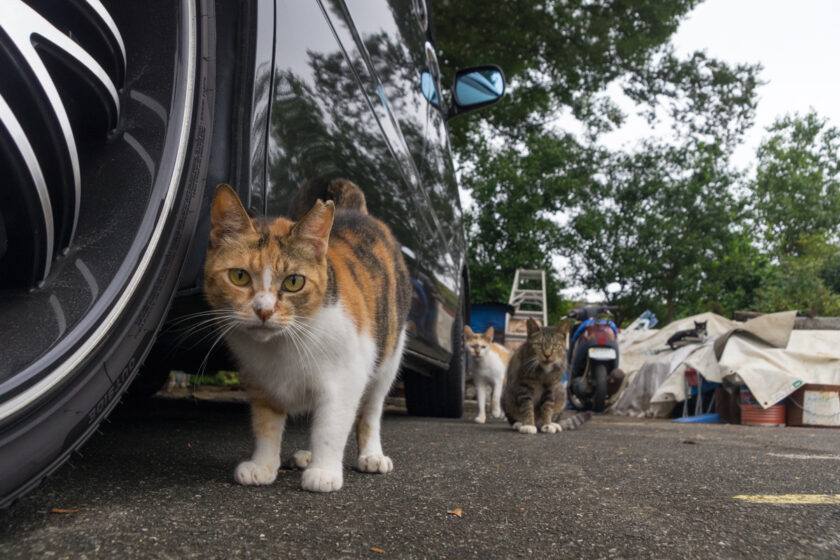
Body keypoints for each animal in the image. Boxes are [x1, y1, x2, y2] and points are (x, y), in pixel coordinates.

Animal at [205, 182, 412, 492]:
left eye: (294, 282)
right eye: (239, 276)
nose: (263, 311)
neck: (281, 344)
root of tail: (354, 210)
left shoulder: (345, 380)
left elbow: (330, 427)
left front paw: (324, 472)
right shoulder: (260, 381)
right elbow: (266, 426)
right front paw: (263, 466)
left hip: (389, 357)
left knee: (371, 411)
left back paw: (372, 456)